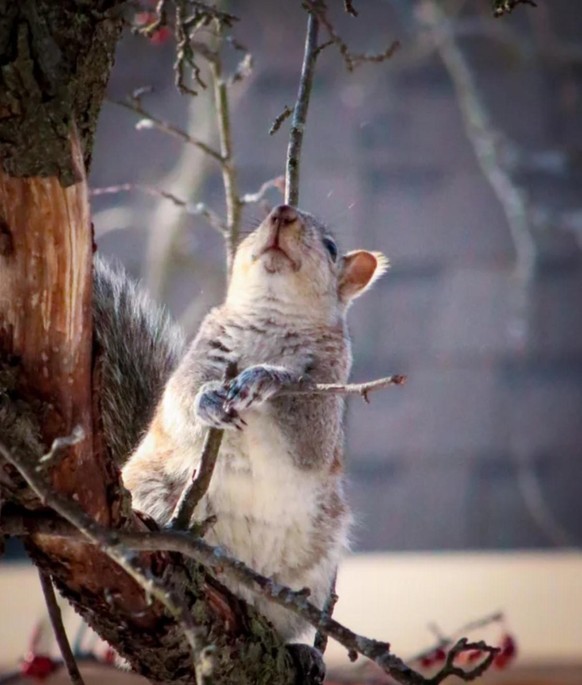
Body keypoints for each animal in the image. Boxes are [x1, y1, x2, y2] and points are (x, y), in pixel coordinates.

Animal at [93, 204, 390, 640]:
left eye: (332, 247)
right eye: (261, 221)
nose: (282, 213)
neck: (272, 321)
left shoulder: (327, 394)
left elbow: (309, 436)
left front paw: (265, 377)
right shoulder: (203, 356)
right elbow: (180, 398)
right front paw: (208, 399)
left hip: (314, 569)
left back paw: (301, 649)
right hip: (153, 494)